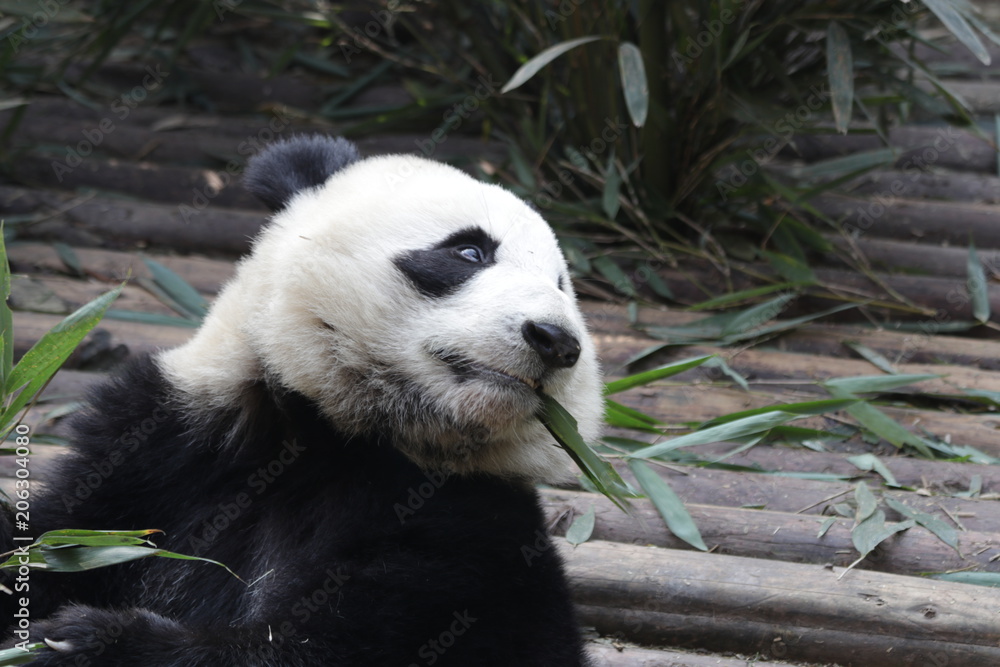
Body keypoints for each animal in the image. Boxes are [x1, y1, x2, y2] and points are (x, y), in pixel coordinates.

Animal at [1, 135, 604, 666]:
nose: (557, 340)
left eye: (560, 284)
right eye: (470, 250)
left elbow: (329, 645)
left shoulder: (468, 525)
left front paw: (84, 643)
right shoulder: (163, 446)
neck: (328, 431)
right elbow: (57, 537)